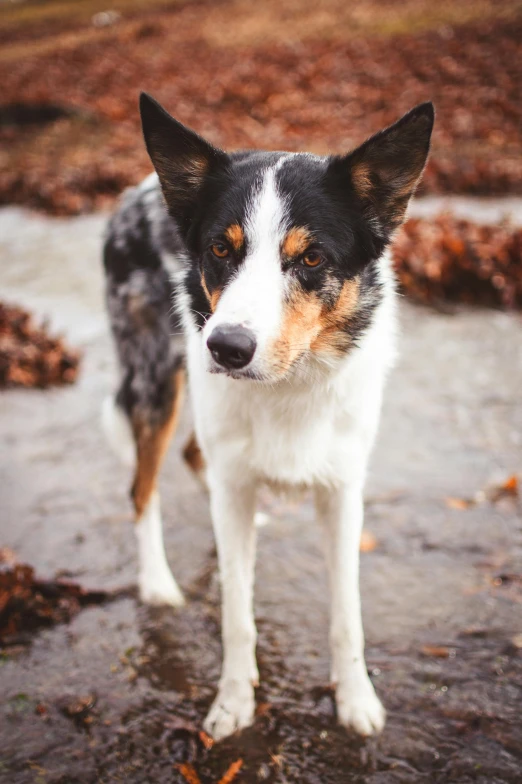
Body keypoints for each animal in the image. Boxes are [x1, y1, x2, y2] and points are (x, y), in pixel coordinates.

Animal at [100, 92, 430, 740]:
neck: (289, 384)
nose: (225, 348)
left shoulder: (343, 493)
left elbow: (347, 614)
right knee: (142, 484)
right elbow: (236, 615)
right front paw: (233, 703)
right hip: (156, 376)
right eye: (219, 249)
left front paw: (356, 699)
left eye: (312, 257)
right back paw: (157, 582)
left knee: (193, 458)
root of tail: (134, 192)